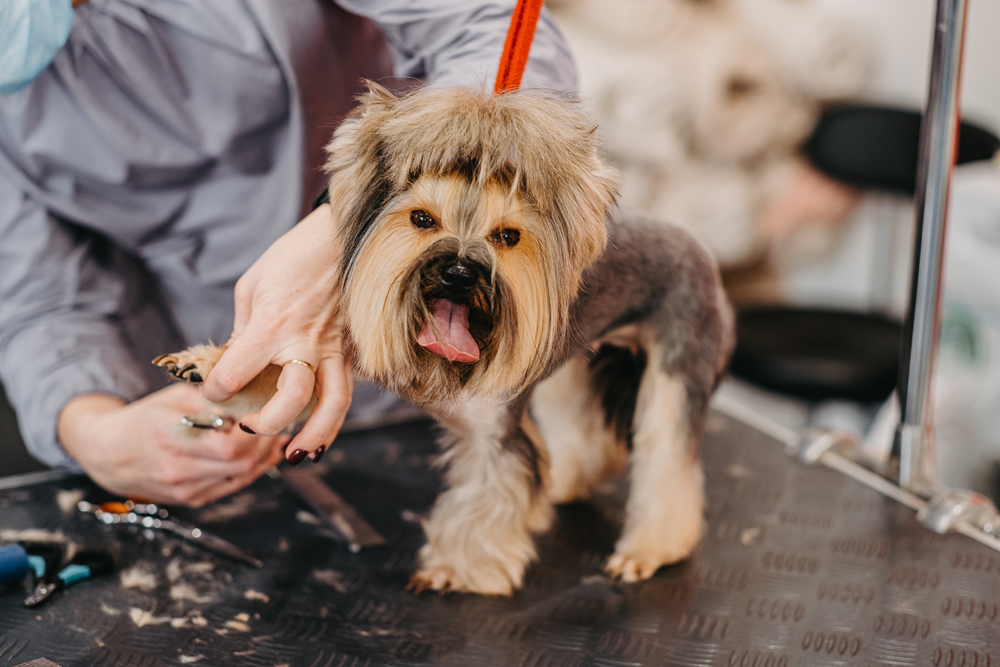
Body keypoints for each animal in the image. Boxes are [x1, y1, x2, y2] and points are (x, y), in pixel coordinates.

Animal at [156, 82, 736, 596]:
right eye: (421, 219)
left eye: (507, 237)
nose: (459, 271)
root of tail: (699, 251)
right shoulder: (367, 330)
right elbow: (290, 367)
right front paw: (213, 365)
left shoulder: (494, 438)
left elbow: (486, 502)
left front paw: (455, 570)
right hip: (570, 365)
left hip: (680, 360)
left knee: (668, 459)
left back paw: (647, 551)